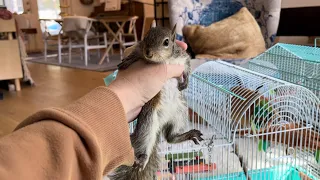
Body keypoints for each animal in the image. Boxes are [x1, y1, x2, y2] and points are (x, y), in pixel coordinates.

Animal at [110, 22, 204, 180]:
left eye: (166, 42)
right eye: (145, 37)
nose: (148, 53)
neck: (165, 60)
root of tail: (162, 123)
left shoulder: (182, 57)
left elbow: (187, 66)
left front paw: (185, 83)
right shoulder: (140, 48)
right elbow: (136, 53)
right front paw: (127, 60)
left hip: (180, 113)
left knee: (171, 137)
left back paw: (186, 135)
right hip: (148, 119)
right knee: (146, 142)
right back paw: (143, 159)